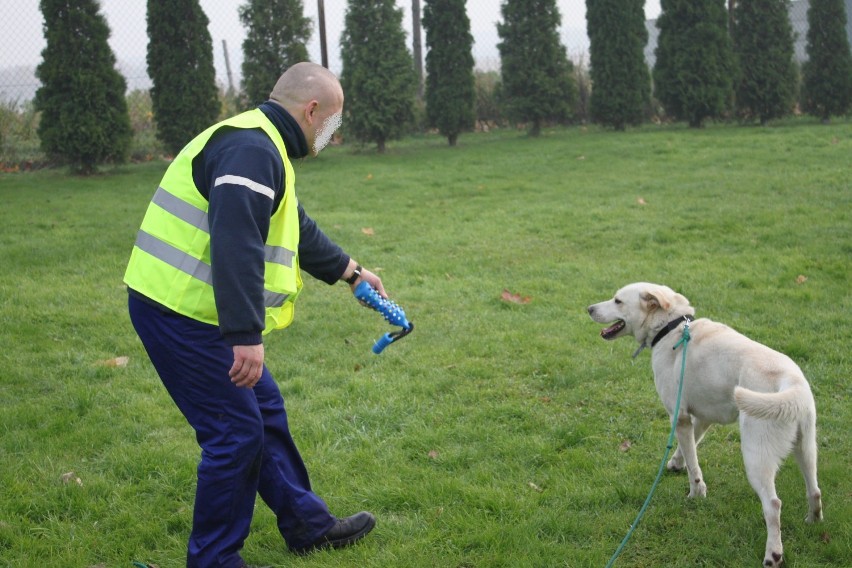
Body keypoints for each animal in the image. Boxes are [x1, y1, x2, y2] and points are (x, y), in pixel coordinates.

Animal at [588, 282, 824, 564]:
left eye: (618, 301)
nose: (589, 308)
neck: (672, 328)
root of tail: (793, 384)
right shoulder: (701, 418)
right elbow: (689, 449)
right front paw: (675, 464)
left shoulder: (678, 416)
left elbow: (694, 466)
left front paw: (696, 494)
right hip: (806, 449)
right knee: (815, 490)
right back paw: (813, 521)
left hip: (756, 457)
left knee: (773, 505)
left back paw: (773, 555)